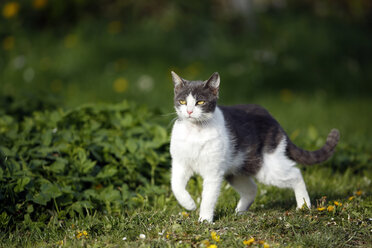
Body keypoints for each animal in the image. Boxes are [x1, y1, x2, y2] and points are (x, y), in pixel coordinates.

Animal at [169, 70, 340, 223]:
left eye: (200, 102)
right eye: (182, 101)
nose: (189, 111)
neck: (195, 132)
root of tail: (272, 118)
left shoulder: (213, 172)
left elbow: (208, 197)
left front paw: (204, 220)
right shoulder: (180, 164)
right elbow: (175, 185)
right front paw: (189, 204)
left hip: (267, 166)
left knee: (295, 174)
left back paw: (303, 206)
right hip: (238, 169)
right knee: (252, 189)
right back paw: (238, 212)